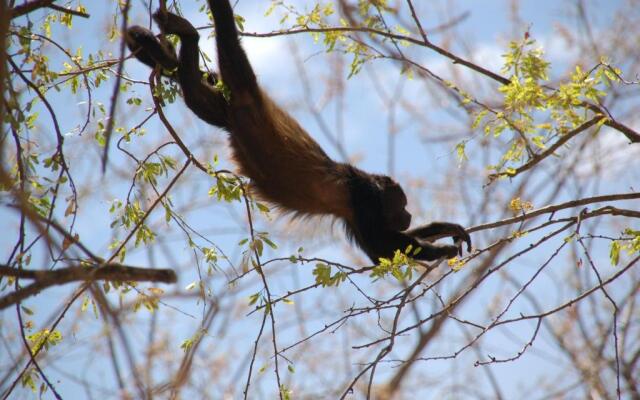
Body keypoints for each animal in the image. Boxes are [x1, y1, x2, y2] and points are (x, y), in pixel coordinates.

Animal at [125, 0, 472, 266]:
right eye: (400, 205)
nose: (409, 214)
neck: (370, 186)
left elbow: (388, 245)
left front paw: (445, 227)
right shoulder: (364, 200)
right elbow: (380, 249)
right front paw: (444, 248)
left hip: (222, 109)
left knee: (196, 94)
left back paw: (183, 41)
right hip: (243, 89)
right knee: (230, 47)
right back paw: (192, 32)